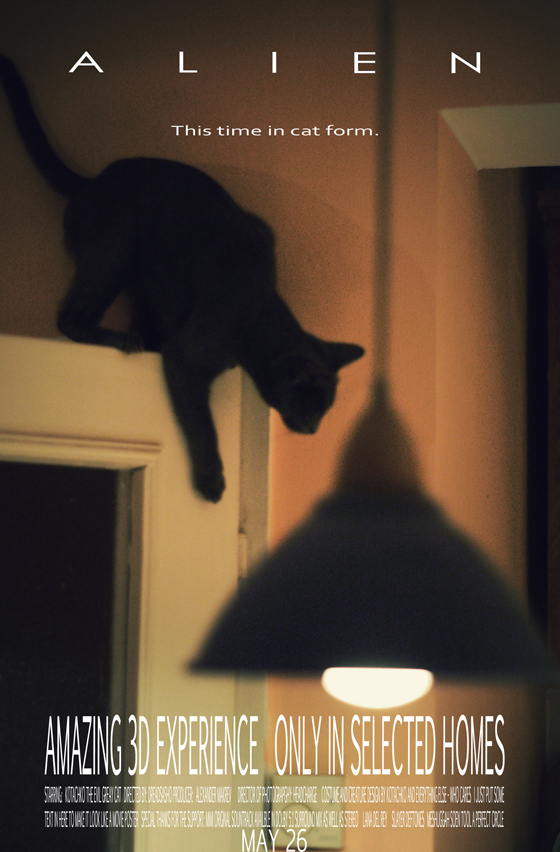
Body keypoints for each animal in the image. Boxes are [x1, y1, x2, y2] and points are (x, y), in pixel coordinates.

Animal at [0, 56, 364, 501]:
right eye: (308, 405)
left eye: (325, 410)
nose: (313, 430)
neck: (259, 312)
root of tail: (93, 179)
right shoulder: (188, 356)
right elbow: (202, 425)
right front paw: (212, 481)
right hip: (115, 248)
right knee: (69, 318)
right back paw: (121, 340)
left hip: (144, 282)